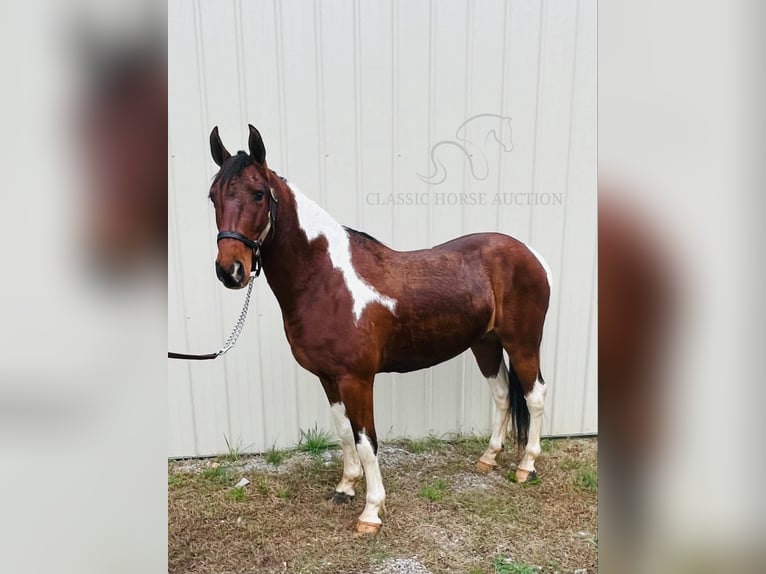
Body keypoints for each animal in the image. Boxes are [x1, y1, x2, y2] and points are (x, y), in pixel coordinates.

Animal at [207, 124, 548, 536]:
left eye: (258, 193)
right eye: (212, 196)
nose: (230, 271)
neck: (325, 279)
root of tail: (529, 254)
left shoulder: (357, 379)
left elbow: (367, 440)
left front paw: (371, 511)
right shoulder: (328, 378)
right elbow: (344, 433)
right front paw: (345, 487)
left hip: (523, 343)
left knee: (535, 396)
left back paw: (526, 467)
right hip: (485, 343)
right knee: (500, 395)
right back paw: (488, 458)